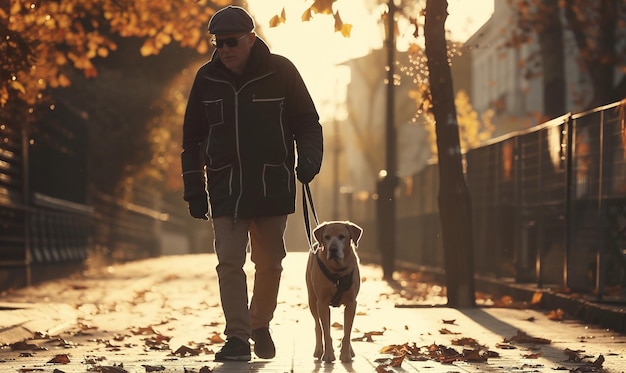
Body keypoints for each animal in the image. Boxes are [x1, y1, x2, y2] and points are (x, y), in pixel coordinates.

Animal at [304, 219, 360, 362]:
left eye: (342, 236)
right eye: (327, 237)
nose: (333, 249)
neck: (338, 271)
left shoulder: (352, 303)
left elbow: (347, 331)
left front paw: (345, 354)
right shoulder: (322, 303)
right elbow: (326, 332)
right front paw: (328, 354)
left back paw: (351, 351)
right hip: (312, 300)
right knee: (318, 326)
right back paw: (319, 350)